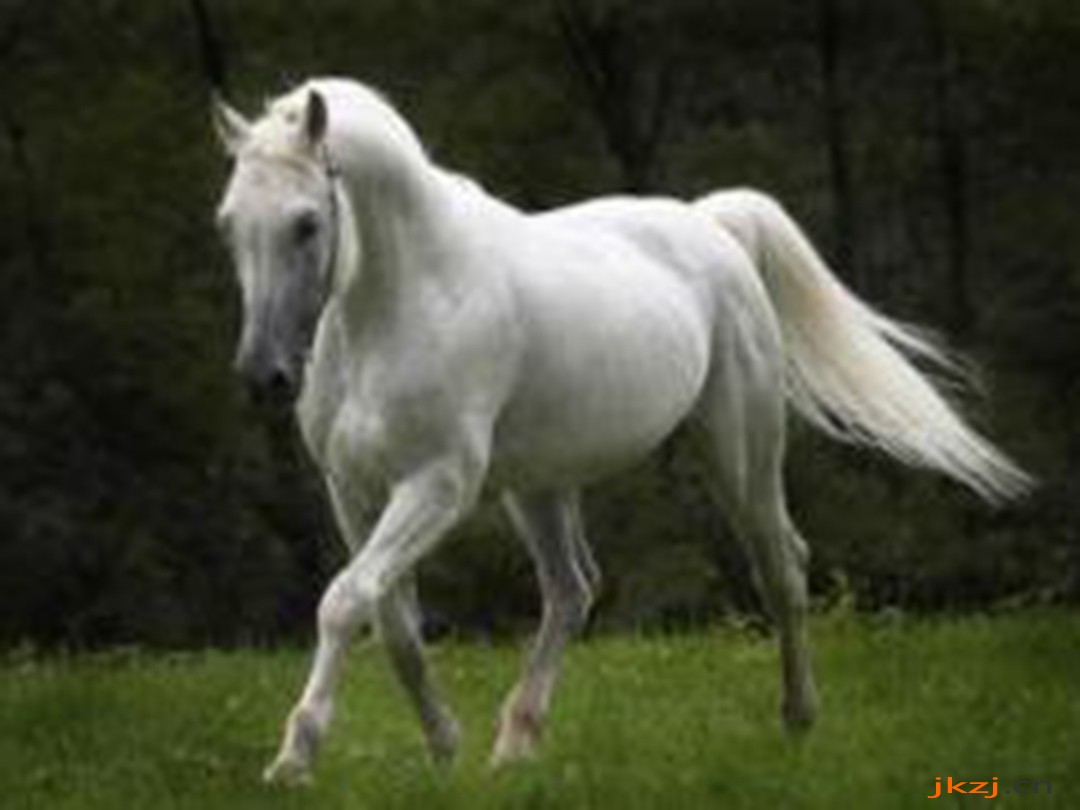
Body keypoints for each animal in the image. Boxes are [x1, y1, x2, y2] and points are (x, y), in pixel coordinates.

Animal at [211, 77, 1029, 784]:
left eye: (307, 222)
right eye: (229, 224)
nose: (263, 376)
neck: (406, 300)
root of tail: (712, 224)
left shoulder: (437, 485)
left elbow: (344, 602)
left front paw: (294, 760)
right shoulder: (352, 491)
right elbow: (391, 622)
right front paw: (444, 750)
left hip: (736, 453)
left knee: (780, 568)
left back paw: (797, 723)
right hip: (539, 485)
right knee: (572, 590)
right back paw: (514, 745)